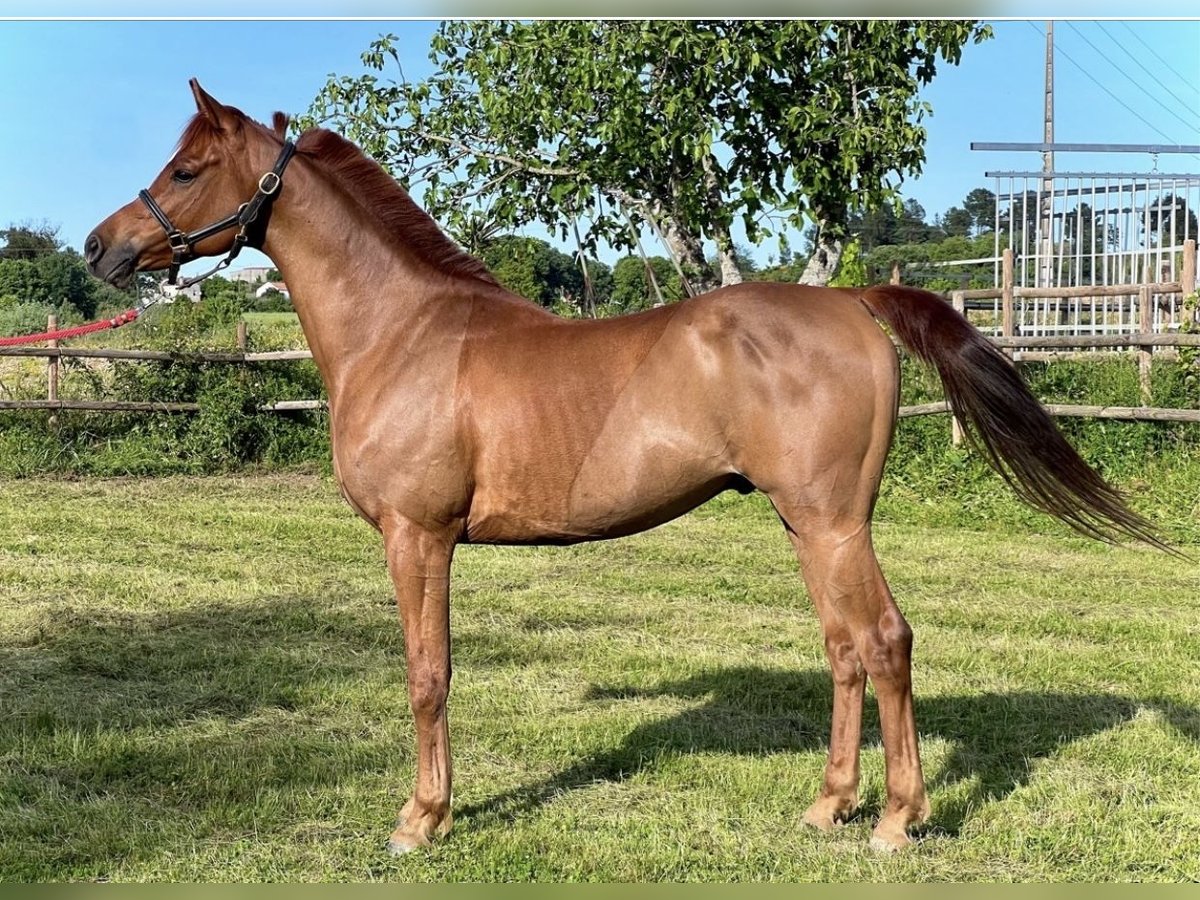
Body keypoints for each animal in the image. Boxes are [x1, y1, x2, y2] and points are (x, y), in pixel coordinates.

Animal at [87, 81, 1161, 854]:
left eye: (185, 170)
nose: (102, 248)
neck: (404, 332)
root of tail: (854, 301)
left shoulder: (417, 539)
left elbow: (428, 675)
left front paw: (420, 821)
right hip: (806, 526)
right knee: (845, 650)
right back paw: (830, 806)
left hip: (833, 522)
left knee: (886, 642)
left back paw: (898, 820)